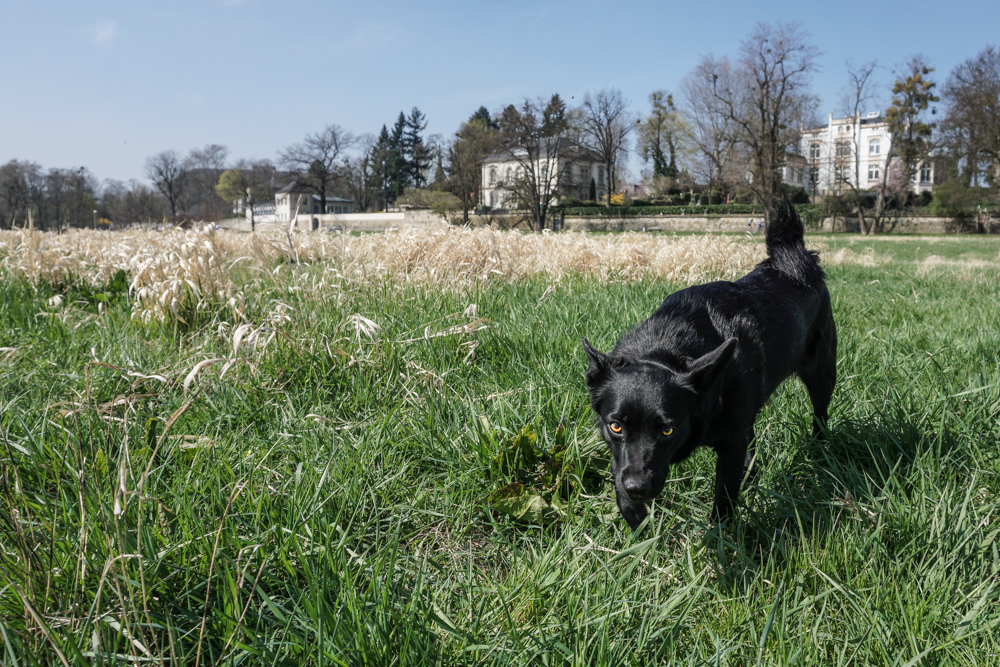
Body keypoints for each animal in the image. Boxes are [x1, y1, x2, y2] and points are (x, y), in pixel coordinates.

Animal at [584, 201, 840, 528]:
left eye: (667, 430)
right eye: (615, 426)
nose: (638, 488)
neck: (666, 348)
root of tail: (794, 259)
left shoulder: (730, 444)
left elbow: (724, 500)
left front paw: (720, 537)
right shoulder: (623, 459)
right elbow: (622, 489)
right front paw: (640, 522)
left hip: (822, 374)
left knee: (820, 415)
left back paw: (820, 451)